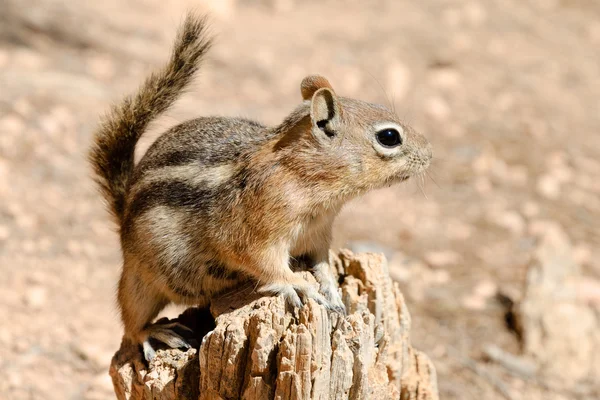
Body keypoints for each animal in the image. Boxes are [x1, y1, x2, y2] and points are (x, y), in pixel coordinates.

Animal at [88, 14, 432, 360]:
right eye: (389, 137)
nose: (429, 154)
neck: (307, 180)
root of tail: (123, 211)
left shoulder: (318, 234)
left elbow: (322, 263)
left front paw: (332, 290)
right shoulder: (252, 233)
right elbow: (264, 264)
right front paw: (299, 284)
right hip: (139, 278)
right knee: (131, 319)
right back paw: (155, 332)